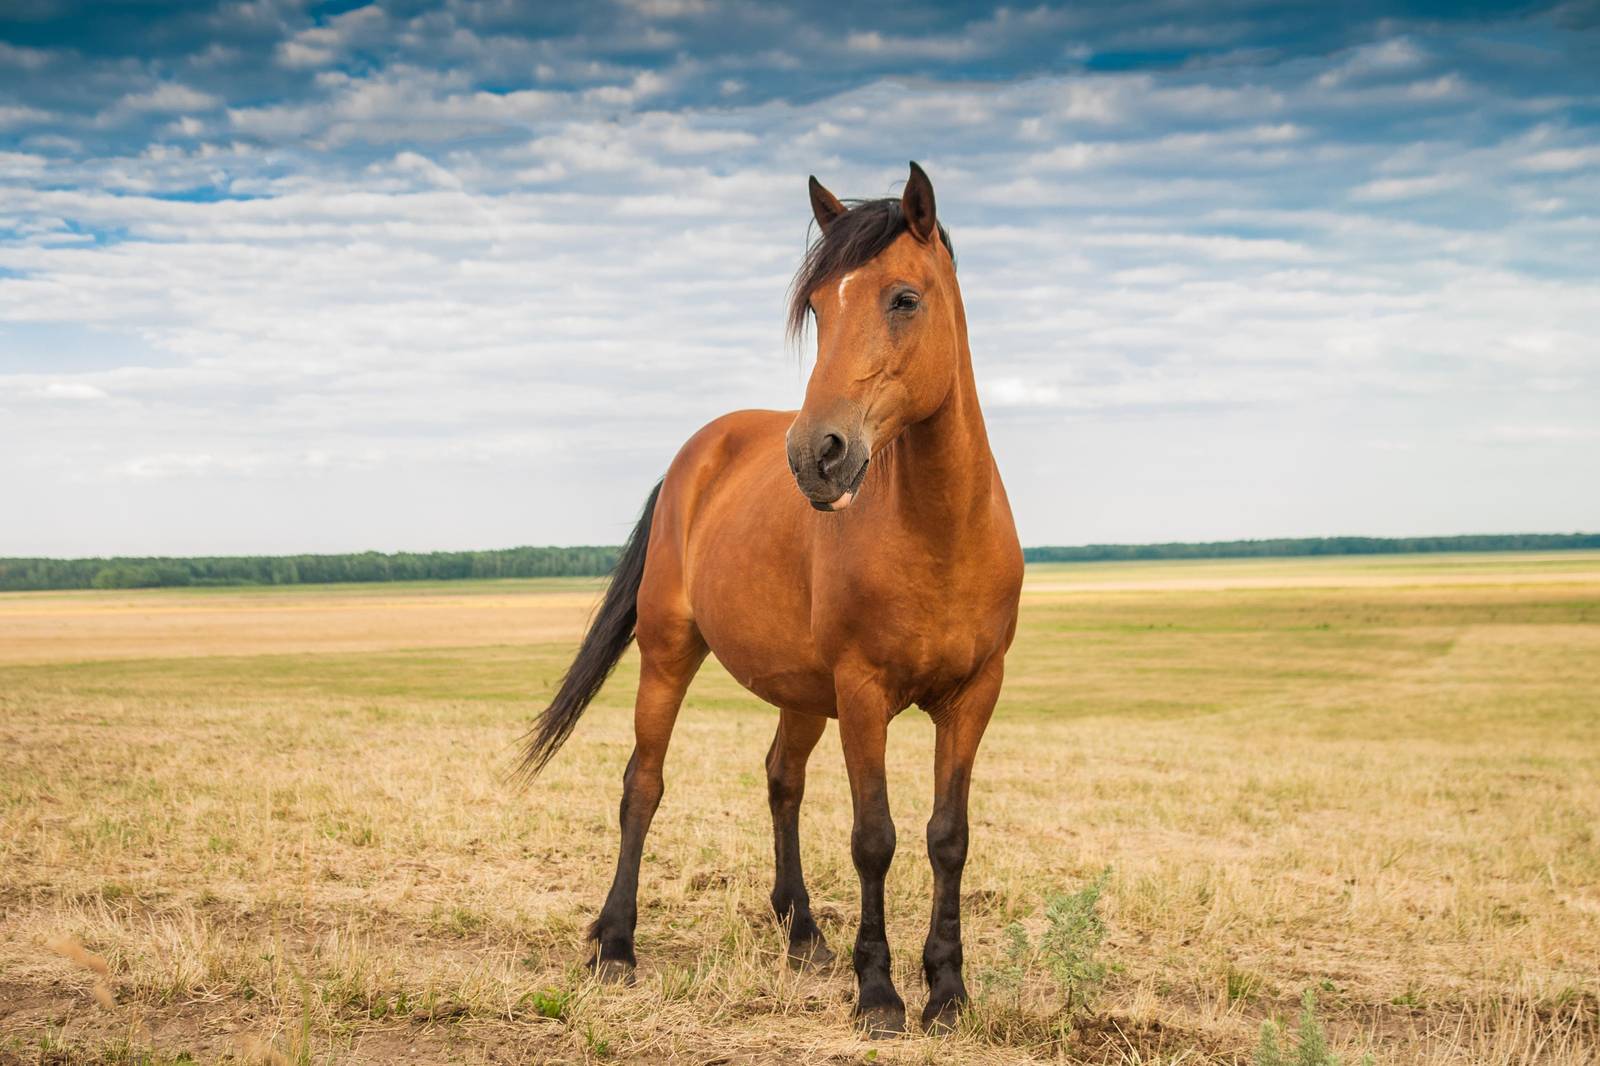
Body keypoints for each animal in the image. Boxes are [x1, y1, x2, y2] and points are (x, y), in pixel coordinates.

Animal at [518, 162, 1023, 1036]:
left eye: (904, 298)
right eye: (817, 308)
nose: (816, 454)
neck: (941, 528)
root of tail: (697, 454)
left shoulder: (972, 695)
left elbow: (947, 837)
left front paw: (949, 992)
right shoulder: (863, 693)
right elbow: (875, 836)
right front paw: (880, 994)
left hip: (802, 690)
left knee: (782, 779)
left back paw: (804, 934)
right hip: (671, 655)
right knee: (642, 785)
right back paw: (616, 945)